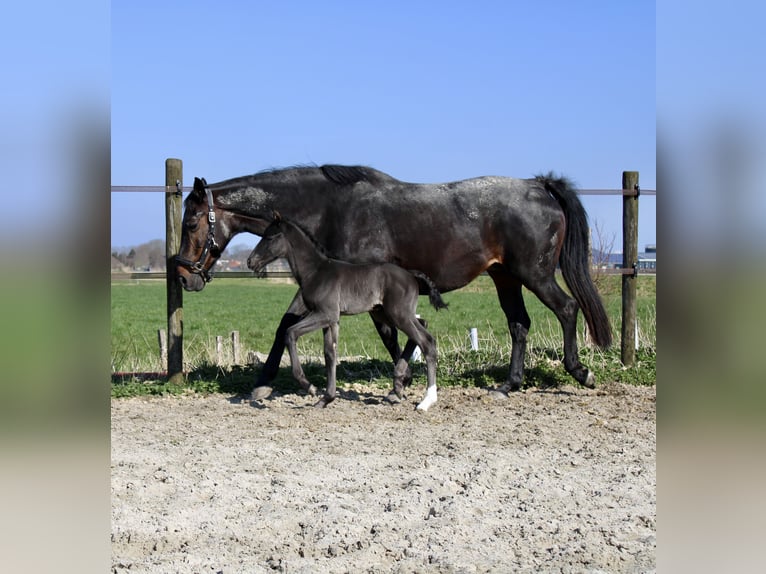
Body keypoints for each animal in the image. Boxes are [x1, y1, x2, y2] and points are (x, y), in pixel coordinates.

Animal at [246, 212, 447, 410]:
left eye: (270, 237)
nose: (250, 261)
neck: (316, 272)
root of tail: (411, 275)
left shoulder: (325, 314)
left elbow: (290, 333)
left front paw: (309, 387)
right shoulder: (331, 320)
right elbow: (329, 354)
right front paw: (326, 399)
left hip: (398, 314)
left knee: (427, 342)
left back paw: (426, 399)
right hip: (384, 313)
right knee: (422, 324)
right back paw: (398, 383)